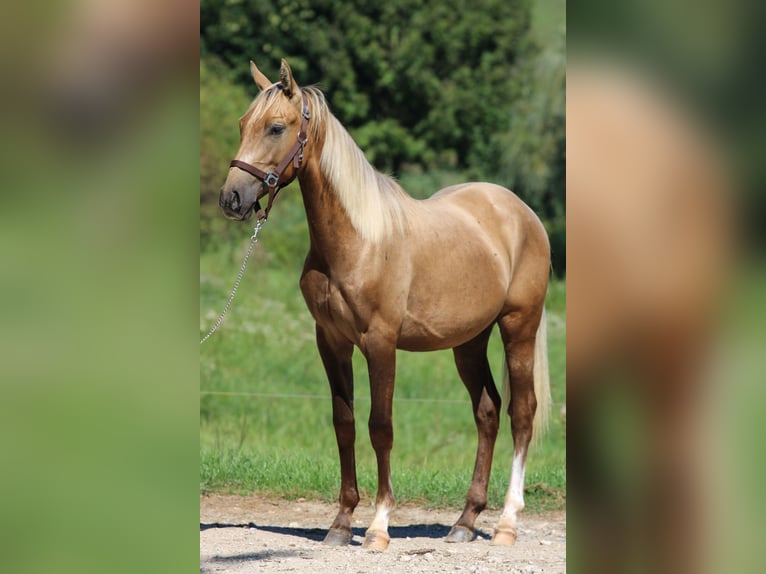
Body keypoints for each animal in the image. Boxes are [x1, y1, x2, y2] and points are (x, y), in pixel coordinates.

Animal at [218, 59, 552, 552]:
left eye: (276, 127)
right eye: (243, 124)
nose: (232, 199)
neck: (359, 240)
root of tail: (522, 212)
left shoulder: (380, 343)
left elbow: (381, 426)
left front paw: (377, 527)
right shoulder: (331, 341)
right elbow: (344, 423)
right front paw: (340, 524)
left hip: (518, 328)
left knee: (522, 412)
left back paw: (507, 524)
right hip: (469, 341)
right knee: (488, 412)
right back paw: (465, 521)